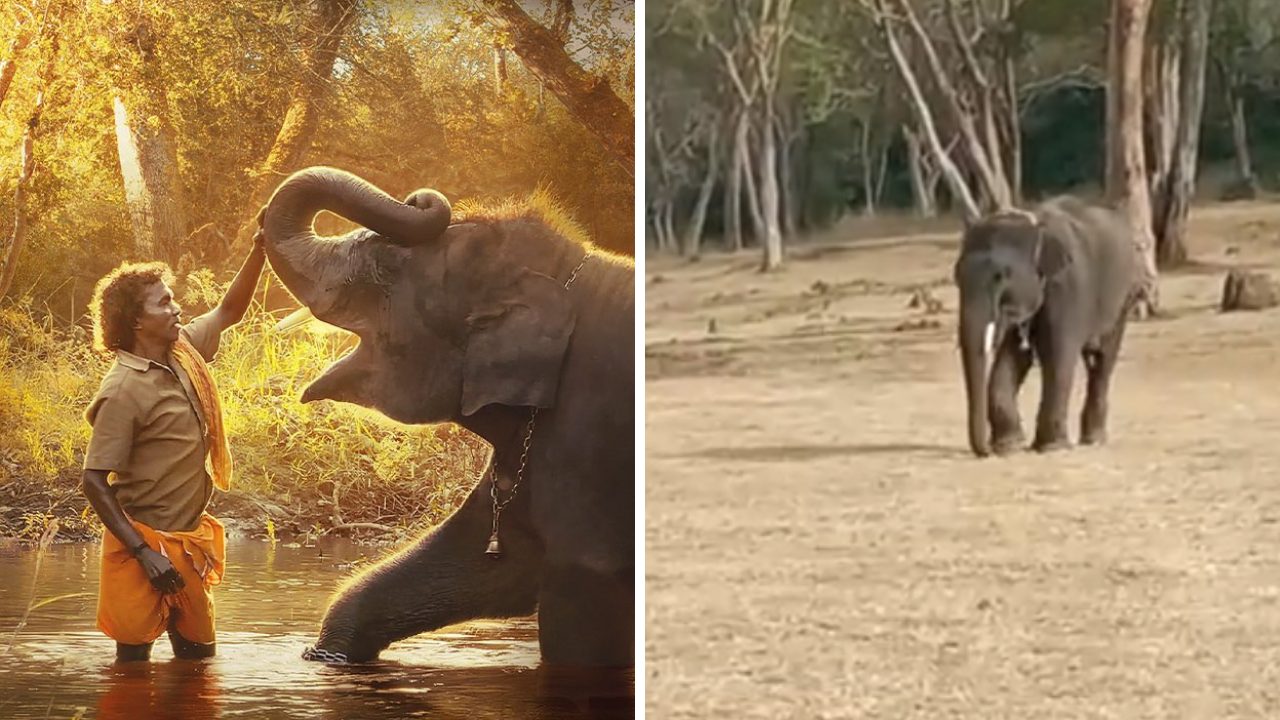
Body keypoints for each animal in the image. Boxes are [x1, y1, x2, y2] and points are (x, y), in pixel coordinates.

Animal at [952, 193, 1141, 456]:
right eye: (956, 277)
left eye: (1001, 277)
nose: (986, 450)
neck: (1032, 224)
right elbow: (1015, 356)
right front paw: (1009, 446)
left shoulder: (1067, 286)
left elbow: (1058, 351)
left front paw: (1052, 447)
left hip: (1124, 296)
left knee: (1103, 358)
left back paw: (1094, 439)